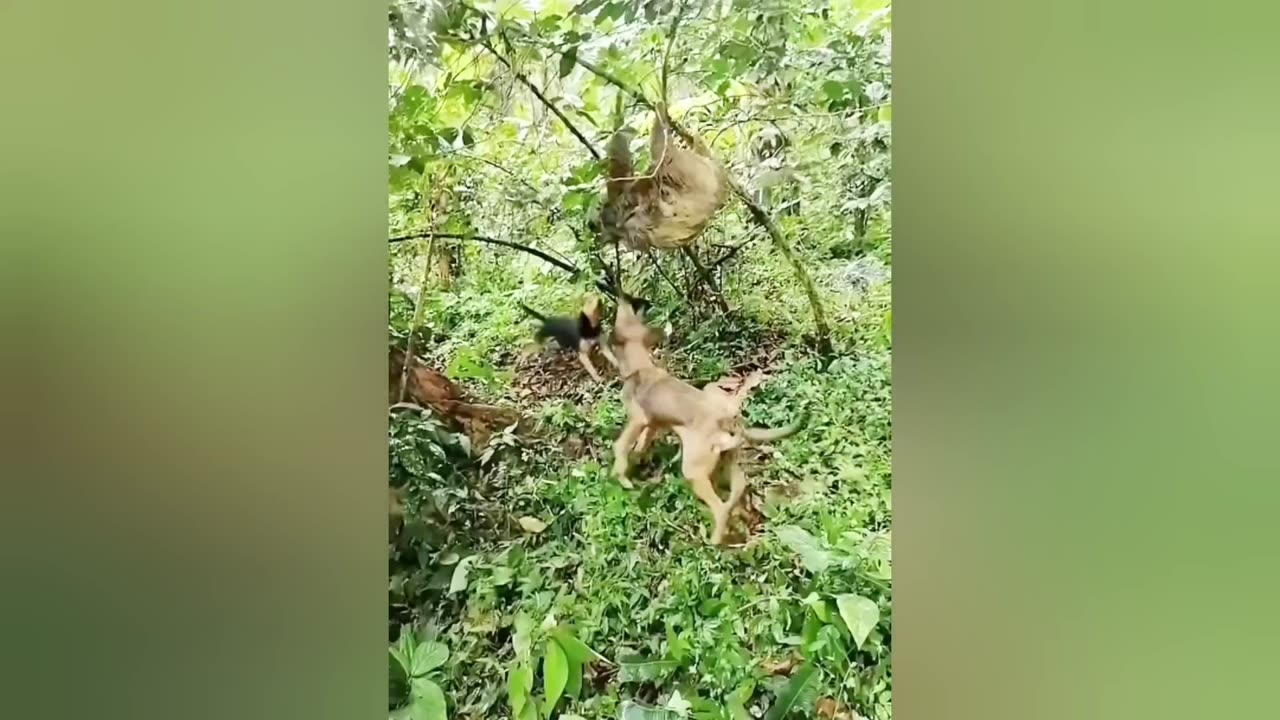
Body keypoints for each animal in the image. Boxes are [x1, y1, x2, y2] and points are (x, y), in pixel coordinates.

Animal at [609, 298, 798, 543]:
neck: (642, 366)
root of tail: (726, 419)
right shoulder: (653, 422)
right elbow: (642, 441)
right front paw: (639, 457)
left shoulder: (638, 419)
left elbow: (621, 446)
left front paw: (620, 474)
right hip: (727, 461)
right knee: (739, 489)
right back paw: (742, 516)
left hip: (694, 470)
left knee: (719, 507)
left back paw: (715, 540)